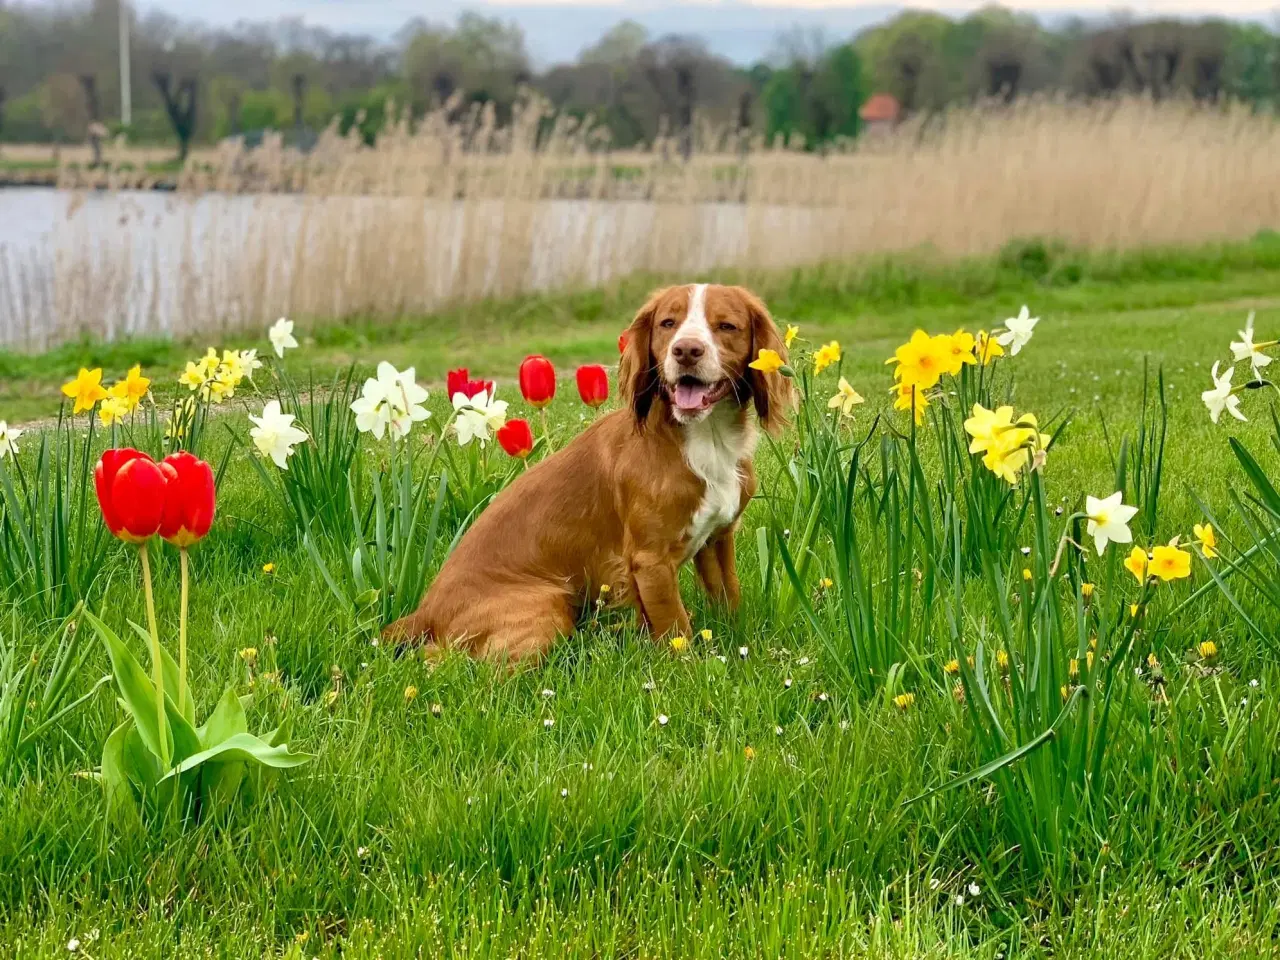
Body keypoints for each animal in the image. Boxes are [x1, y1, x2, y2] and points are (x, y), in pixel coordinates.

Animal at [384, 281, 793, 665]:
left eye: (726, 326)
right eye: (668, 323)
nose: (686, 350)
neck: (704, 439)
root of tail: (425, 613)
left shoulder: (717, 538)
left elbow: (729, 596)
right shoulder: (650, 561)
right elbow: (676, 630)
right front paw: (689, 670)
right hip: (547, 605)